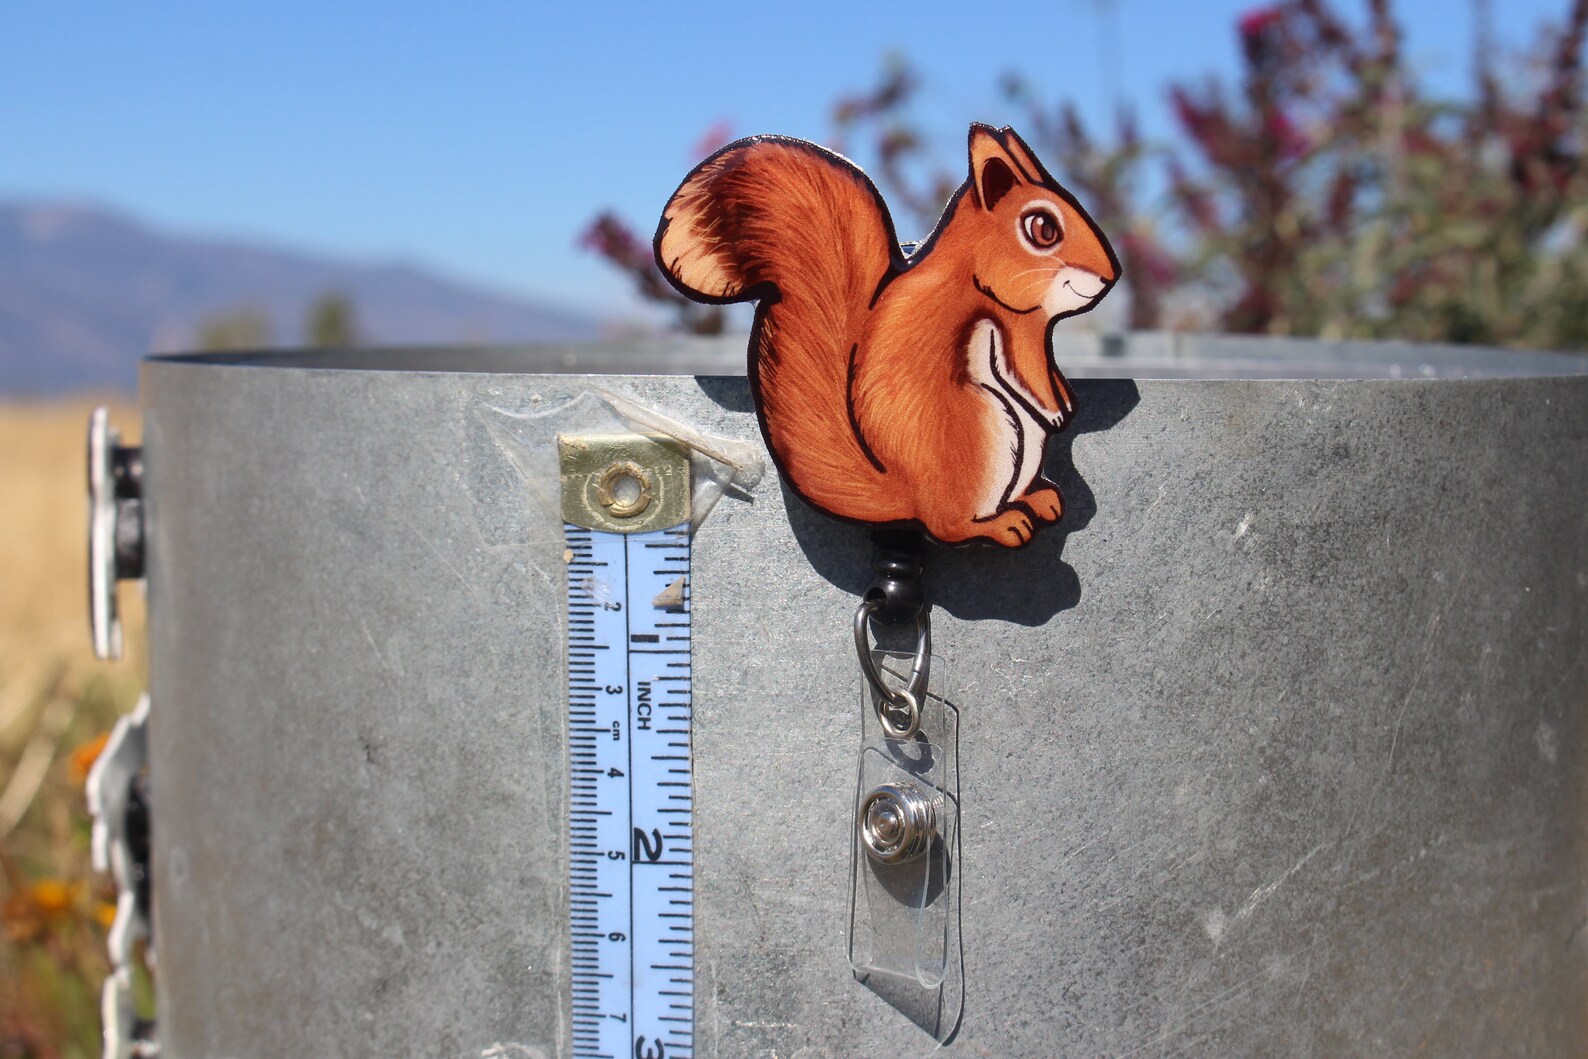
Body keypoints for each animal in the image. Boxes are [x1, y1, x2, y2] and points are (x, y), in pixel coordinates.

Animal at [654, 123, 1119, 547]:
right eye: (1043, 228)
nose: (1110, 276)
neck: (977, 271)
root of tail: (907, 501)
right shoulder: (1010, 326)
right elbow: (1026, 373)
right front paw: (1057, 409)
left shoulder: (1032, 329)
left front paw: (1064, 399)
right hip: (985, 435)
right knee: (950, 528)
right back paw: (1003, 524)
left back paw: (1039, 499)